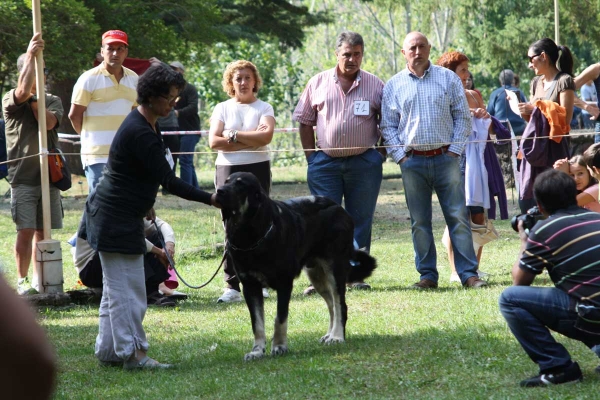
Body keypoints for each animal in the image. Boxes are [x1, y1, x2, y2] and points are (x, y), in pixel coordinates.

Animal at [216, 171, 376, 360]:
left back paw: (337, 336)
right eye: (227, 181)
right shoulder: (250, 286)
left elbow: (280, 318)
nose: (219, 191)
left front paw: (279, 346)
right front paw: (257, 351)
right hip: (316, 275)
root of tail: (340, 208)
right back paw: (330, 334)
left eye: (240, 184)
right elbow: (257, 323)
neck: (249, 235)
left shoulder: (284, 283)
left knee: (340, 305)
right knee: (331, 305)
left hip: (335, 270)